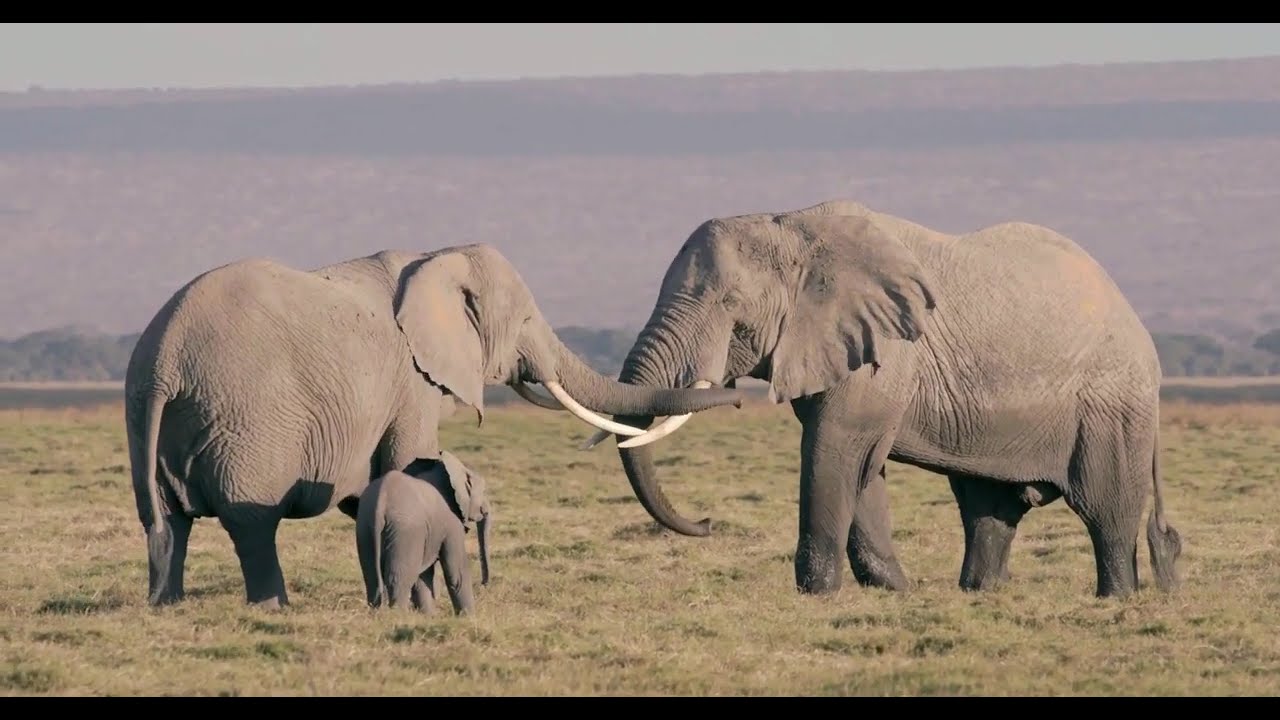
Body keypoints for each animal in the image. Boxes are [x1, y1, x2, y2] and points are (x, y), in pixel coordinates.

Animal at [355, 451, 491, 615]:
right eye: (483, 491)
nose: (484, 584)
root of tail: (381, 502)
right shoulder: (452, 522)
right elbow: (456, 570)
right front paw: (469, 617)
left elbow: (423, 575)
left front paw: (429, 616)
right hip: (406, 532)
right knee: (400, 577)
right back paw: (399, 615)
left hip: (365, 526)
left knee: (371, 577)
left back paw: (377, 614)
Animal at [582, 199, 1183, 599]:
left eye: (731, 304)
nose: (706, 523)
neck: (793, 226)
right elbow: (859, 466)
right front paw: (894, 591)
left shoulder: (887, 352)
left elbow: (834, 450)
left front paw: (817, 595)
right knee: (988, 509)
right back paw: (978, 595)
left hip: (1113, 405)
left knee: (1106, 512)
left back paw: (1117, 599)